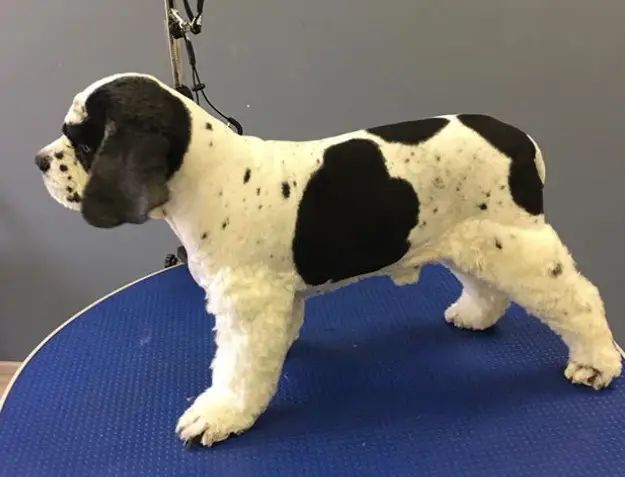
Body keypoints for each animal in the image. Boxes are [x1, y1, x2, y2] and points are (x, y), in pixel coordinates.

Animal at [35, 72, 620, 444]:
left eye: (81, 142)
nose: (40, 160)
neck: (207, 176)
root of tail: (522, 140)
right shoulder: (275, 296)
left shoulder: (245, 304)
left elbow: (236, 370)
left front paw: (220, 415)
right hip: (472, 238)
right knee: (488, 287)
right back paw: (473, 316)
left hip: (517, 242)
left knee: (578, 300)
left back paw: (597, 363)